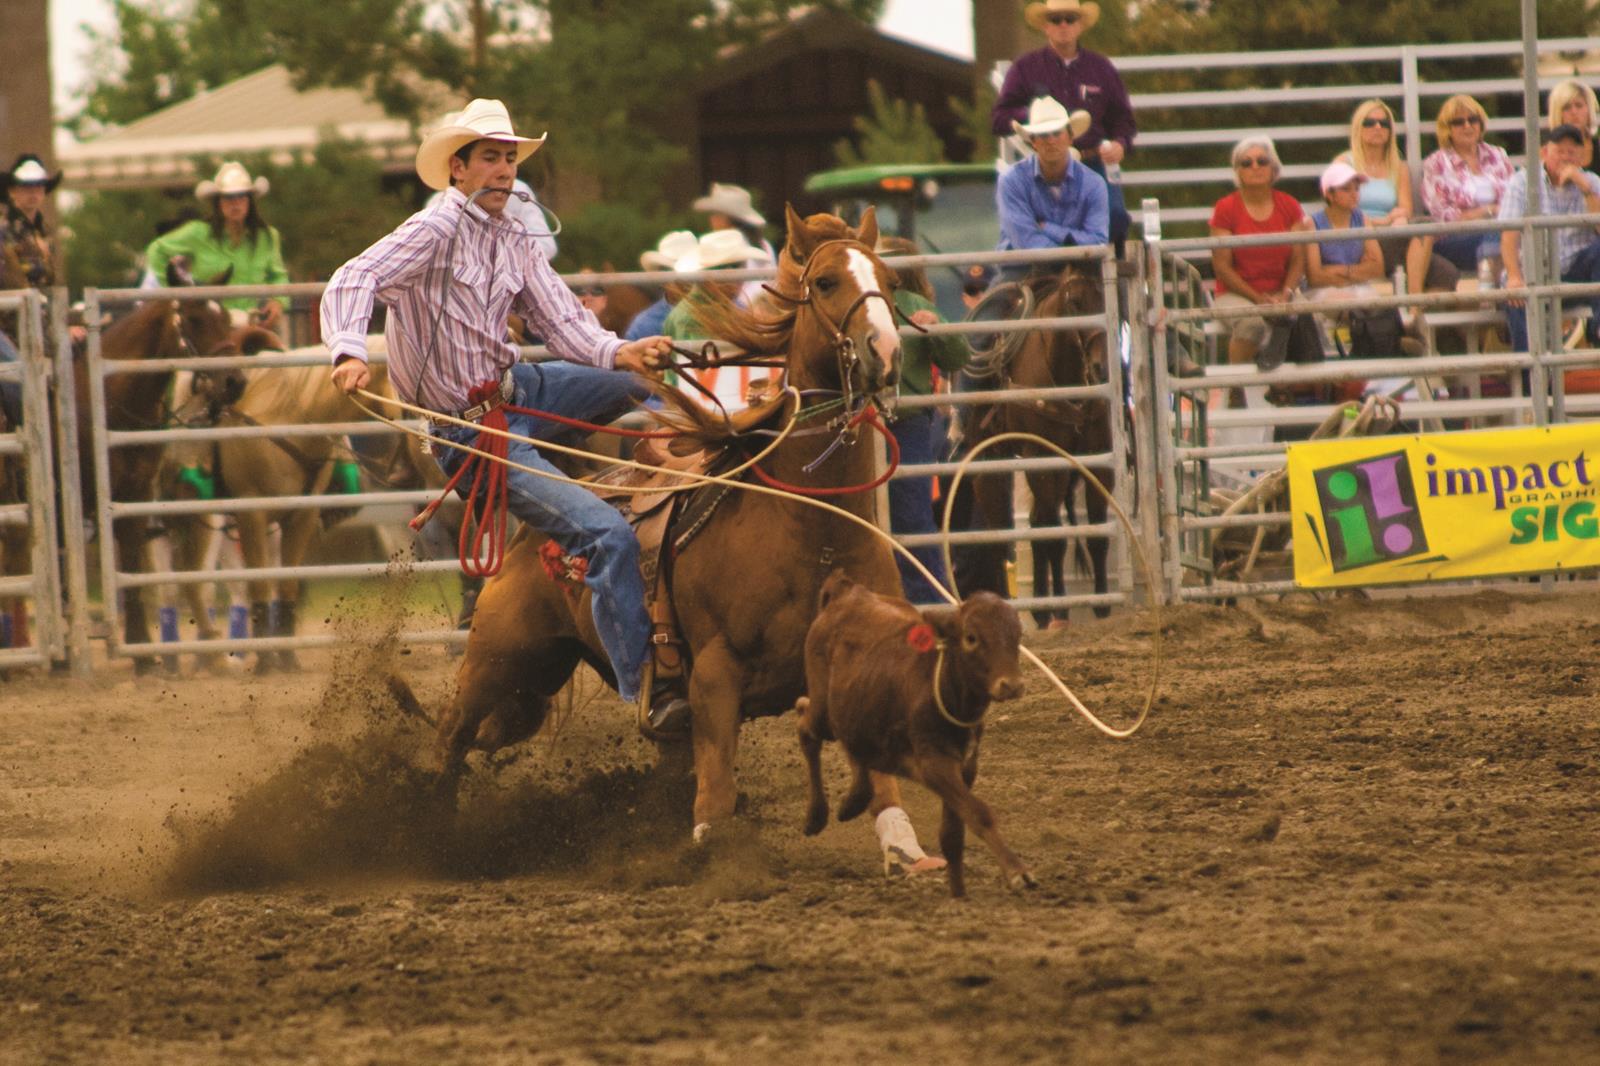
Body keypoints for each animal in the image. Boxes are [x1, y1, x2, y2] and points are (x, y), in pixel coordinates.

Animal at [432, 208, 921, 832]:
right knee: (451, 737)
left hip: (542, 675)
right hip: (496, 660)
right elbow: (714, 807)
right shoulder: (713, 679)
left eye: (890, 280)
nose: (885, 352)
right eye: (827, 281)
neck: (815, 533)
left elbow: (890, 802)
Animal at [793, 569, 1030, 889]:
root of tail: (847, 593)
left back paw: (854, 799)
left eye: (1017, 636)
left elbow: (953, 835)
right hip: (823, 711)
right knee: (805, 724)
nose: (1012, 685)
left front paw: (959, 891)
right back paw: (816, 815)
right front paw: (1017, 872)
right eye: (971, 637)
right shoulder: (934, 764)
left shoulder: (965, 768)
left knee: (855, 748)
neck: (940, 684)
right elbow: (979, 813)